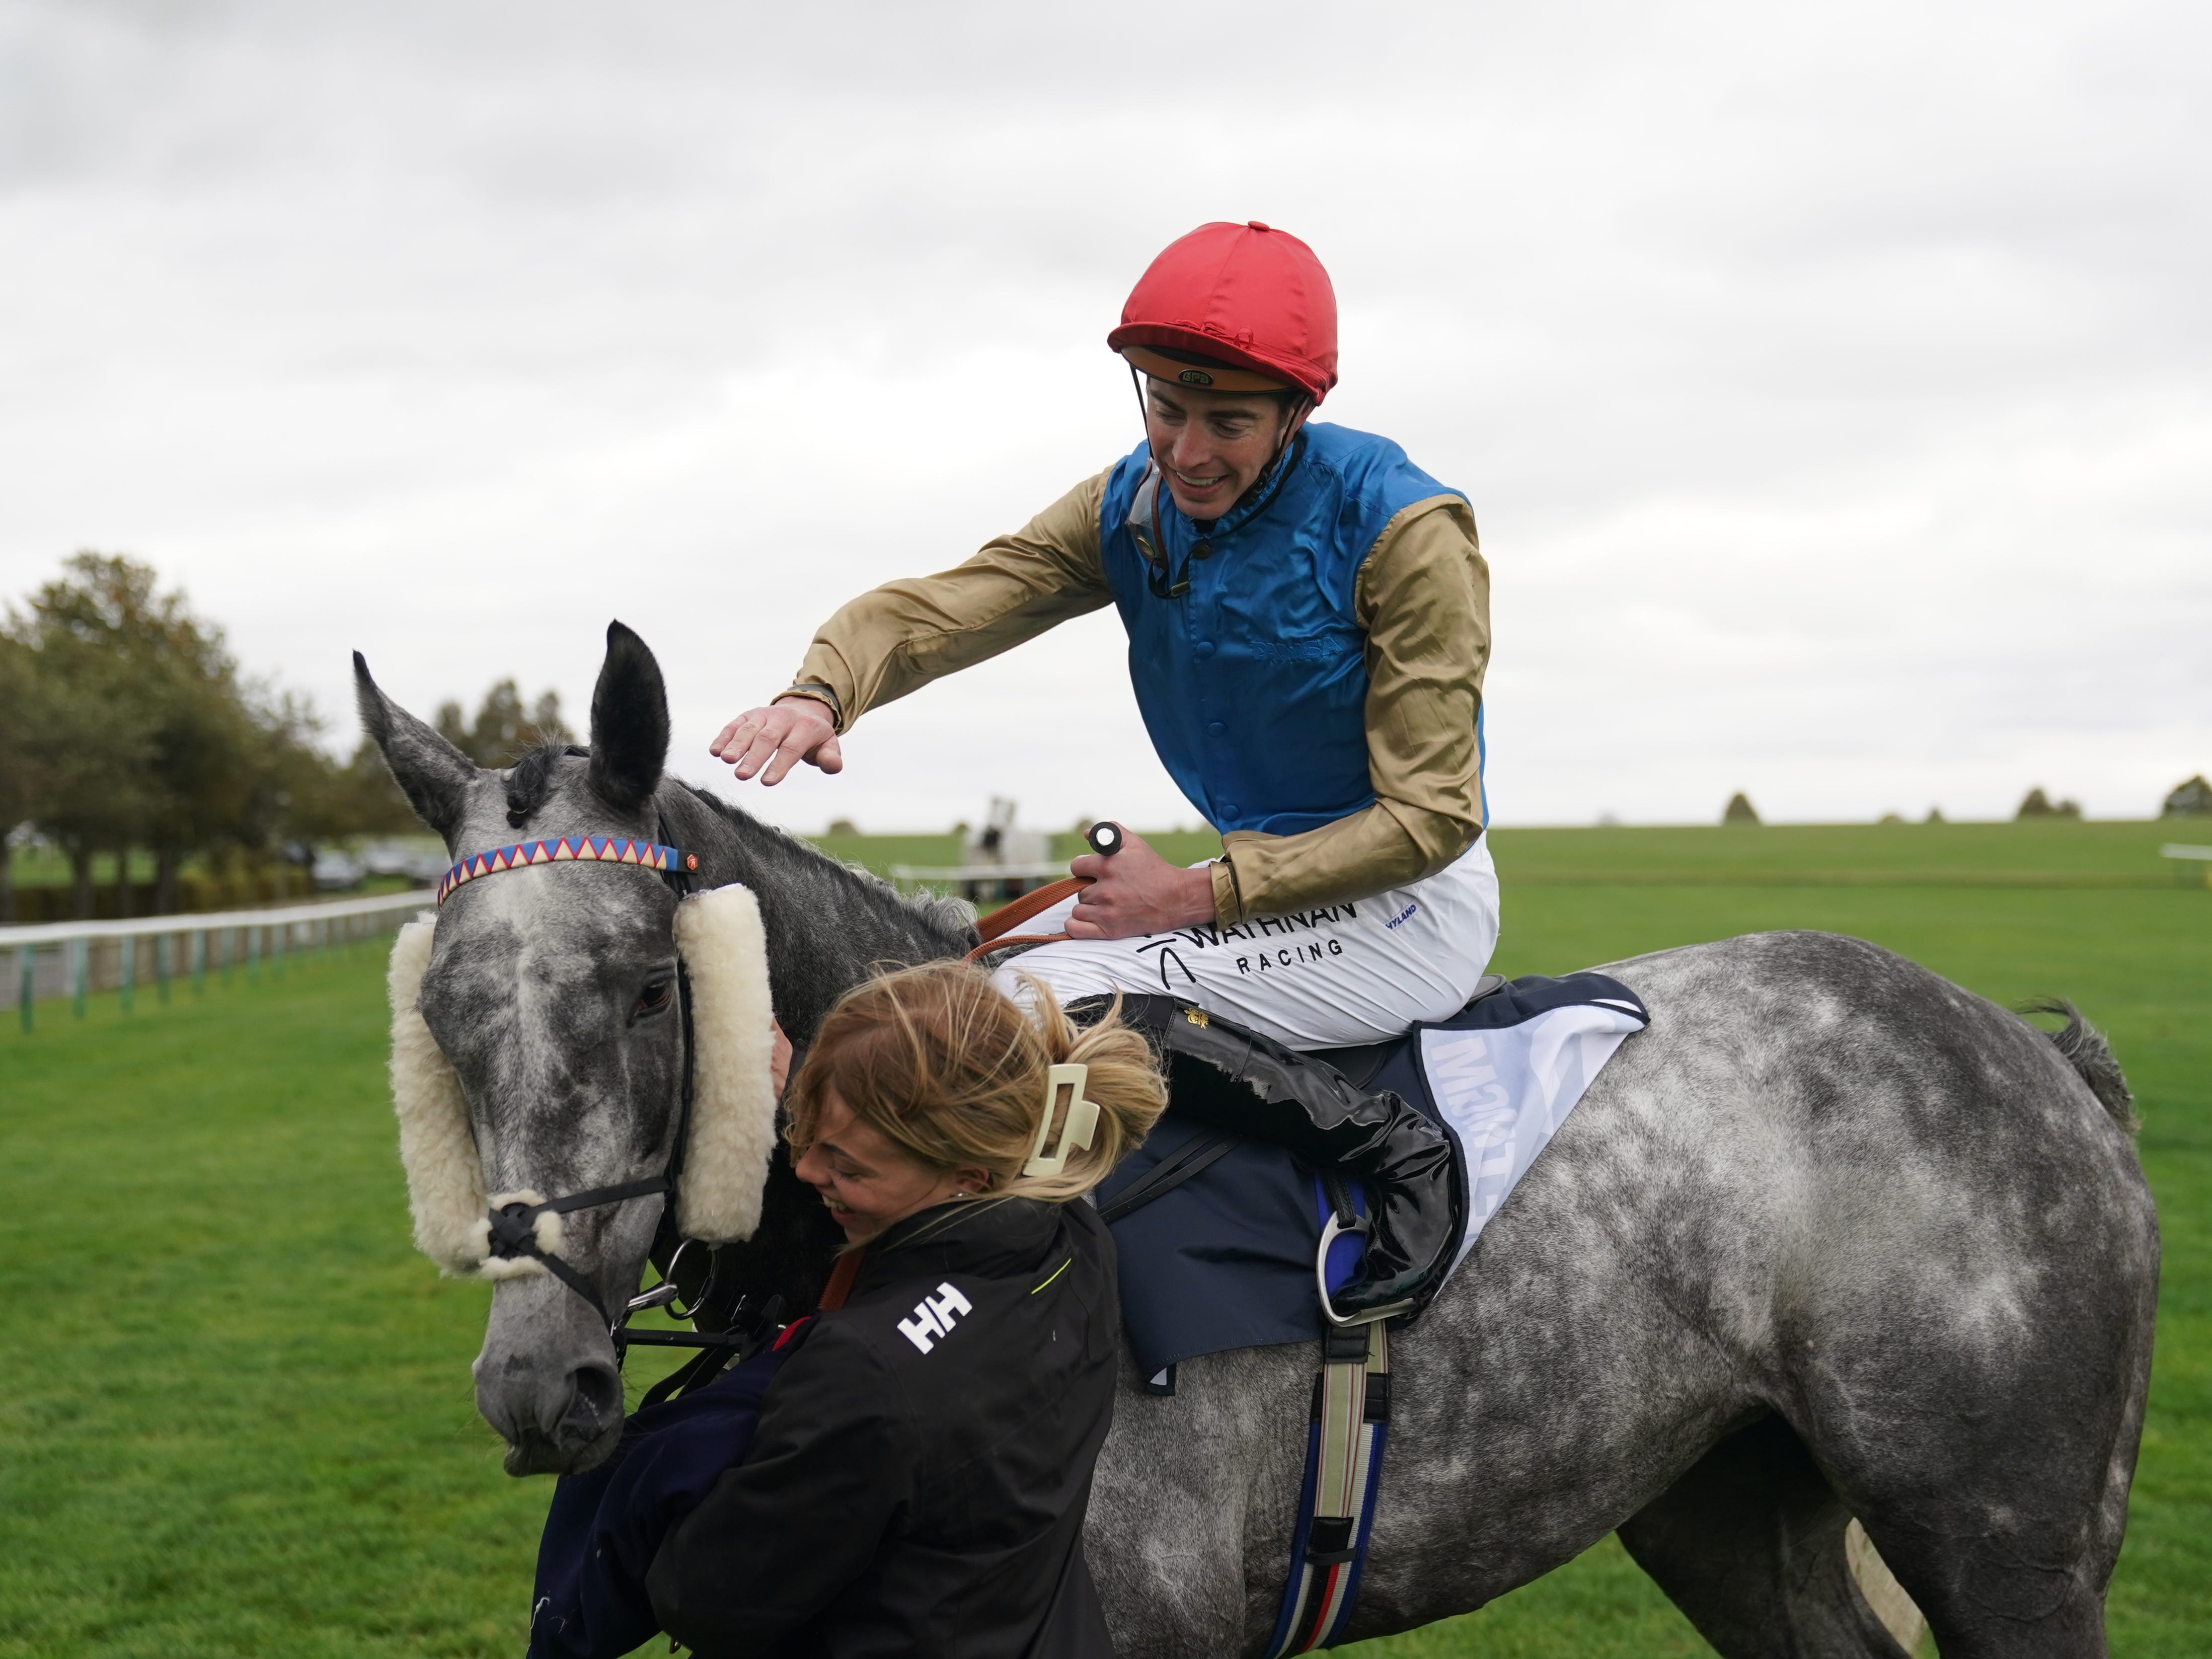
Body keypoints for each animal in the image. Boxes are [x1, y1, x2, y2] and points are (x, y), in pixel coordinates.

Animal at [358, 622, 2157, 1658]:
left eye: (647, 990)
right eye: (438, 1010)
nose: (536, 1383)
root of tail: (2038, 1058)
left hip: (2002, 1543)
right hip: (1724, 1500)